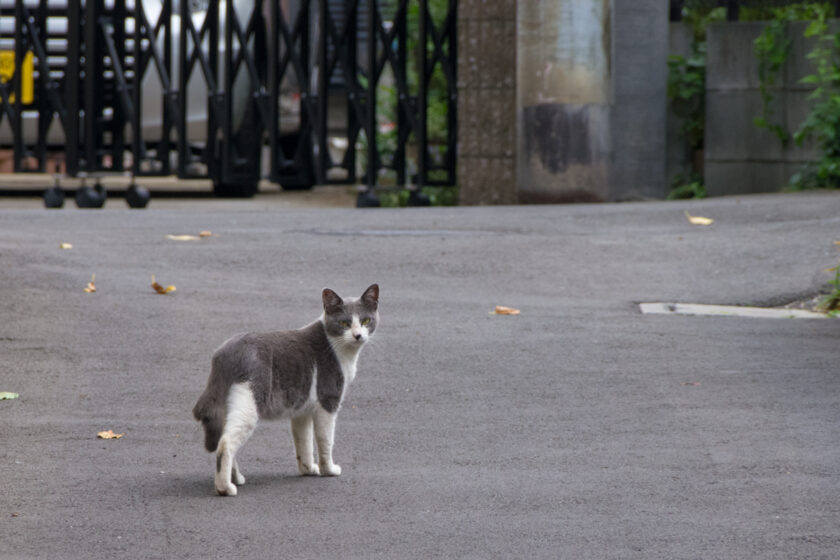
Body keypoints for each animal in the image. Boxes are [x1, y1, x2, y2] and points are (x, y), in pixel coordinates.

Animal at [192, 284, 378, 494]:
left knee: (222, 439)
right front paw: (329, 470)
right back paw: (225, 488)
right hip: (249, 403)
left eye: (365, 320)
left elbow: (304, 443)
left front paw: (308, 469)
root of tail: (224, 353)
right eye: (344, 323)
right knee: (225, 443)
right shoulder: (328, 402)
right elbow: (325, 440)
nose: (358, 335)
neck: (339, 350)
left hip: (227, 407)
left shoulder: (302, 410)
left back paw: (237, 478)